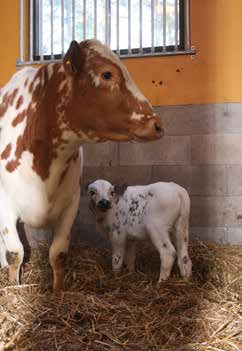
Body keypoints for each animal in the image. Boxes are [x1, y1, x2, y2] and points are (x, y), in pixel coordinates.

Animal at [0, 39, 164, 292]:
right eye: (107, 74)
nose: (157, 124)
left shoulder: (71, 202)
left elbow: (58, 254)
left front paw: (58, 291)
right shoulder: (4, 204)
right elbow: (14, 253)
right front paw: (13, 288)